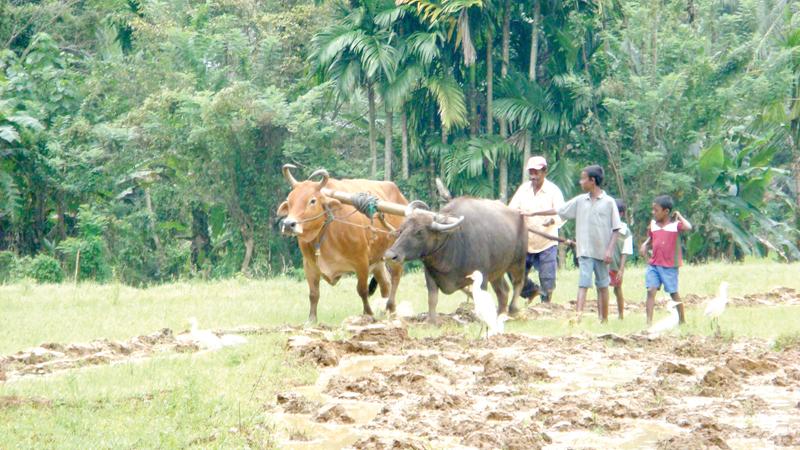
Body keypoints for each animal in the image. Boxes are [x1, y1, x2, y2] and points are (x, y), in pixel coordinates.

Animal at [384, 198, 528, 324]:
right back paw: (501, 315)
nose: (390, 255)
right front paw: (431, 321)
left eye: (419, 232)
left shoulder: (482, 276)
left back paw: (513, 310)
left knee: (518, 283)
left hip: (518, 262)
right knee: (503, 292)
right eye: (402, 229)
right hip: (497, 272)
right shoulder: (430, 275)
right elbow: (432, 299)